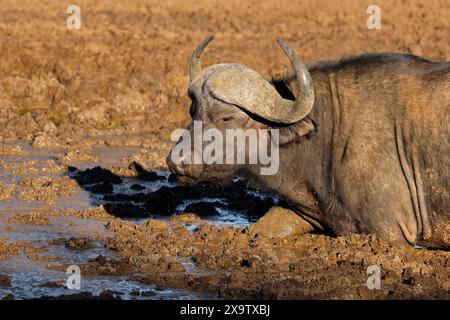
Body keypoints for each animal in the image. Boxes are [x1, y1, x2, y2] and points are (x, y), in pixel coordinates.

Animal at [166, 37, 450, 248]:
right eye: (193, 110)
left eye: (226, 117)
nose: (176, 162)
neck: (329, 132)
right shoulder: (303, 211)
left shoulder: (390, 233)